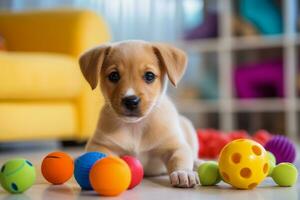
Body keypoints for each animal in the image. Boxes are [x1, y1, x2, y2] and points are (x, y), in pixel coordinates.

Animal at [79, 40, 199, 188]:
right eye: (114, 75)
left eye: (149, 76)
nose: (131, 101)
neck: (135, 127)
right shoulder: (100, 144)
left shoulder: (175, 146)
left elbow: (179, 158)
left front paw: (184, 173)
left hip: (189, 128)